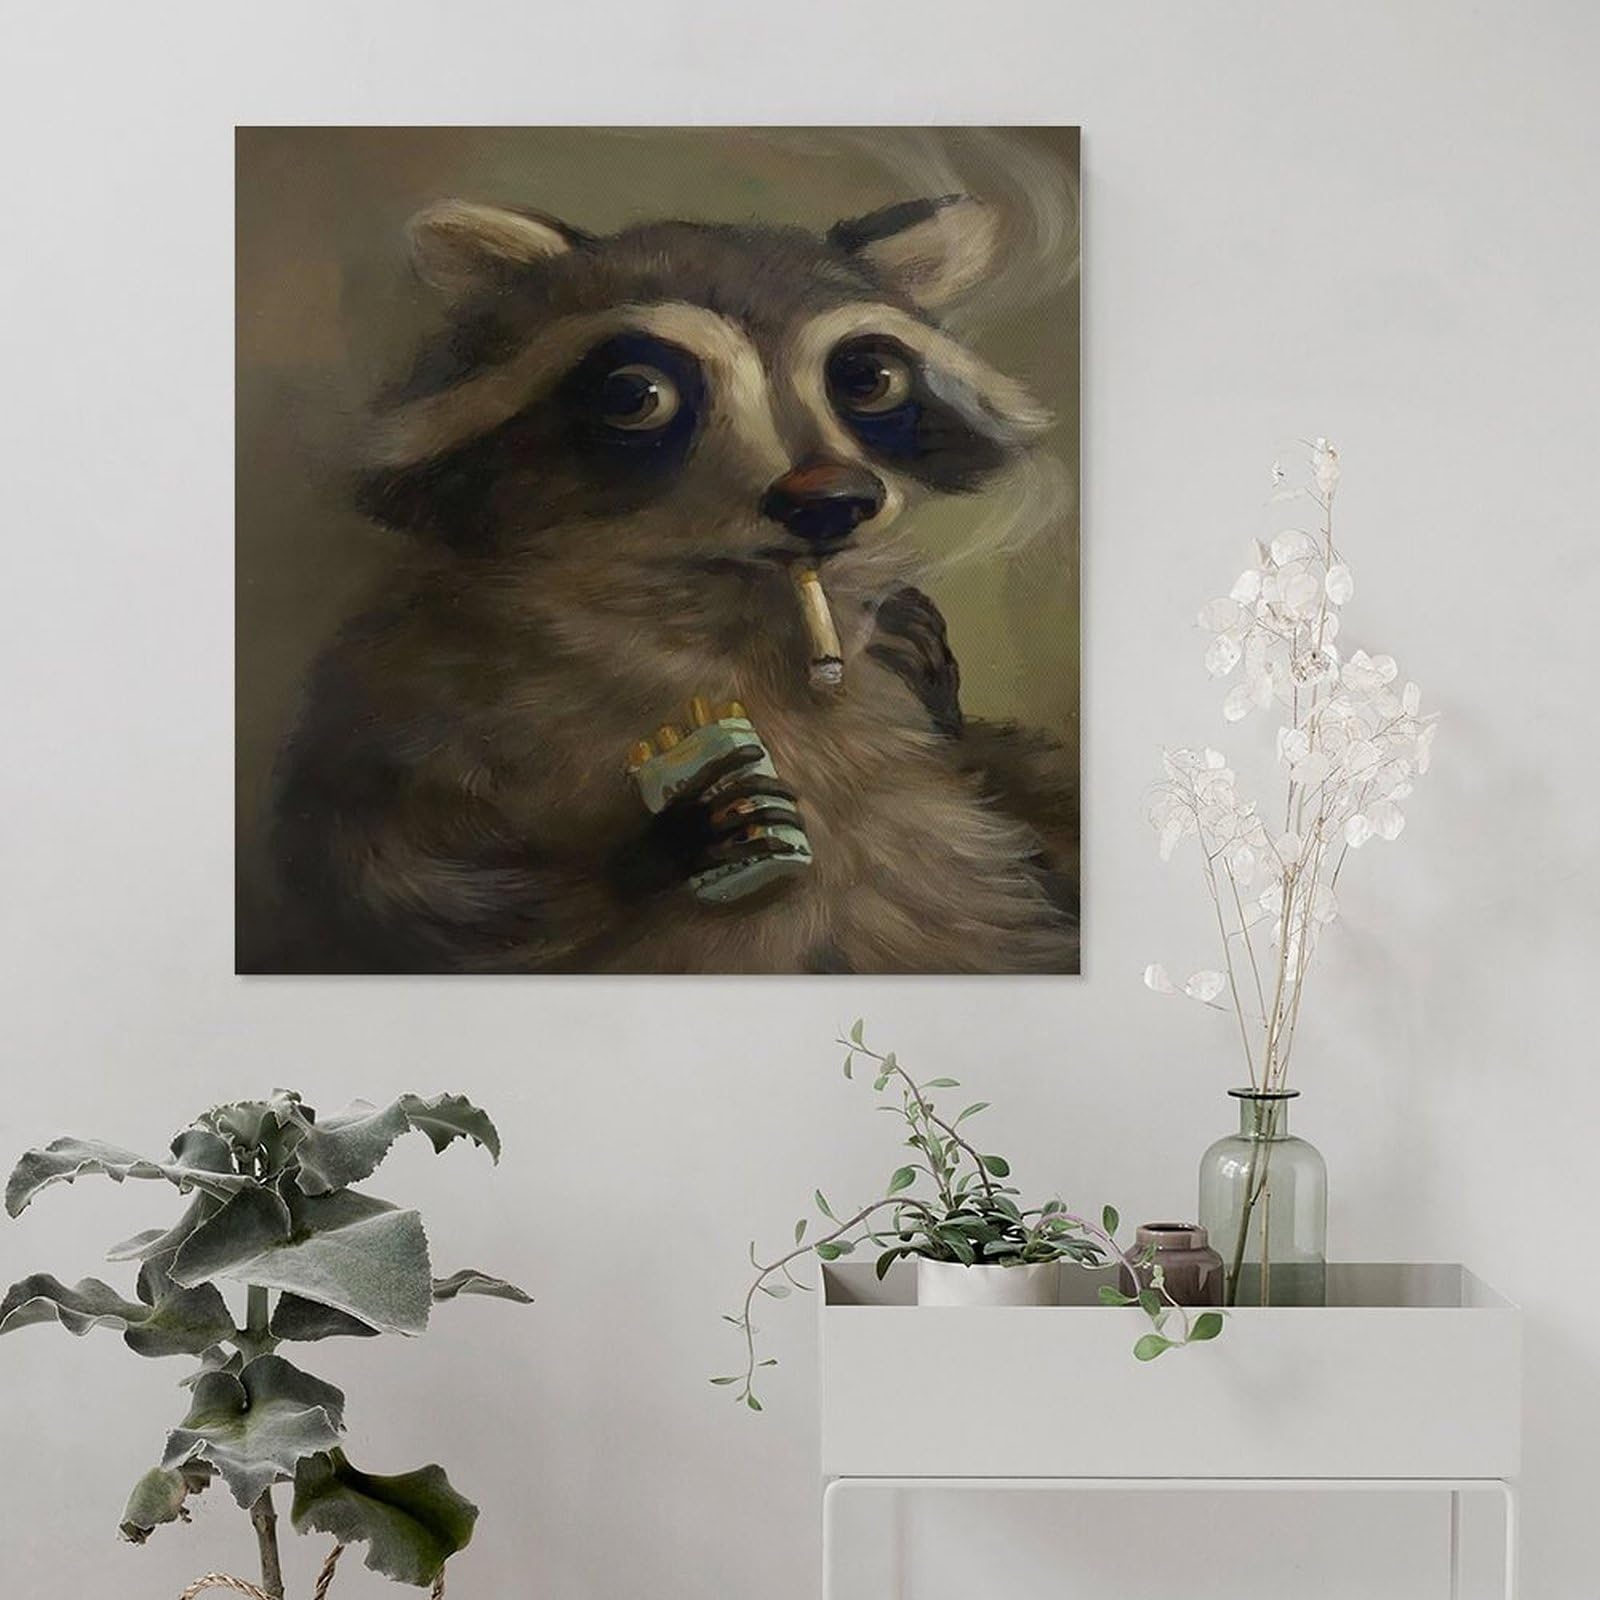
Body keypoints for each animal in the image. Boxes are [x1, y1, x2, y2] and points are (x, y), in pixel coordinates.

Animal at [268, 194, 1080, 974]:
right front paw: (672, 841)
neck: (735, 598)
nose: (829, 499)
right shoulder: (406, 692)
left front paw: (922, 661)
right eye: (636, 394)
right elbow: (413, 886)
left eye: (869, 379)